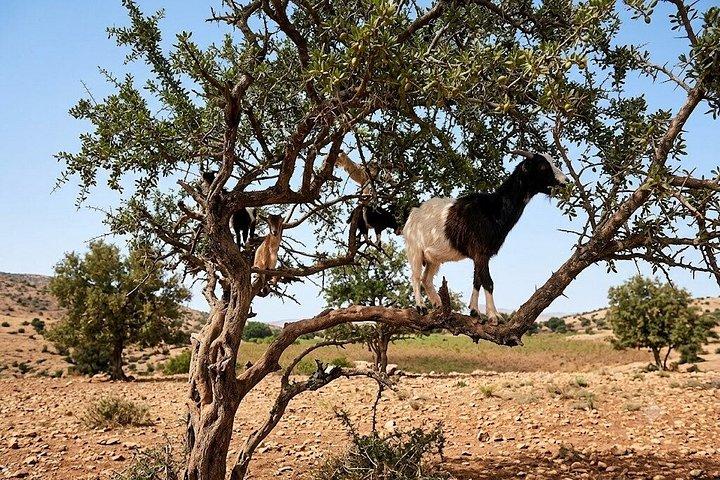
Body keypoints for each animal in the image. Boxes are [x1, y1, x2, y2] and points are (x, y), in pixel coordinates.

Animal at [402, 150, 569, 320]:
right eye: (542, 166)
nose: (565, 181)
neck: (493, 208)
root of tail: (413, 214)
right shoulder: (480, 252)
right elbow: (488, 282)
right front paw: (494, 316)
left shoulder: (481, 255)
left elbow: (477, 281)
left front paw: (475, 311)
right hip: (414, 249)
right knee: (415, 277)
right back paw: (421, 307)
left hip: (433, 258)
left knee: (426, 279)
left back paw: (438, 304)